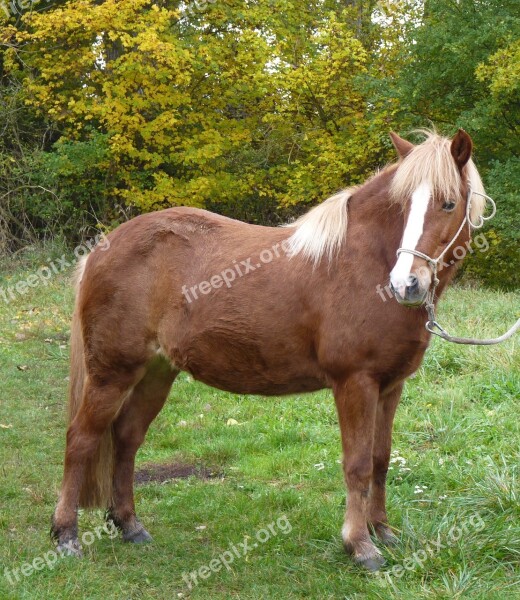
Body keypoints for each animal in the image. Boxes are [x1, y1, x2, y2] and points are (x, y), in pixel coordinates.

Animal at [50, 129, 486, 568]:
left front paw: (382, 531)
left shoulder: (390, 386)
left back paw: (129, 525)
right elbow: (358, 464)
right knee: (82, 439)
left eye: (449, 203)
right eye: (403, 205)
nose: (405, 284)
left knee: (126, 439)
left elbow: (381, 459)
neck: (364, 263)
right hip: (112, 374)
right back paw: (66, 534)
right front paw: (360, 545)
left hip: (155, 374)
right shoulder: (355, 383)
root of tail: (101, 249)